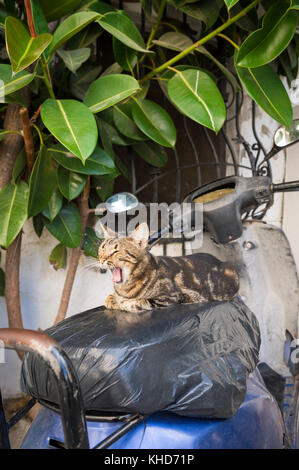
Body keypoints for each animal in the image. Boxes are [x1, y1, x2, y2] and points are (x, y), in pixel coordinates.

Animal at [99, 223, 240, 314]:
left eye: (116, 251)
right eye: (102, 249)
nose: (101, 259)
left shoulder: (170, 297)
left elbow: (138, 302)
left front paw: (122, 303)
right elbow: (110, 298)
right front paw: (113, 299)